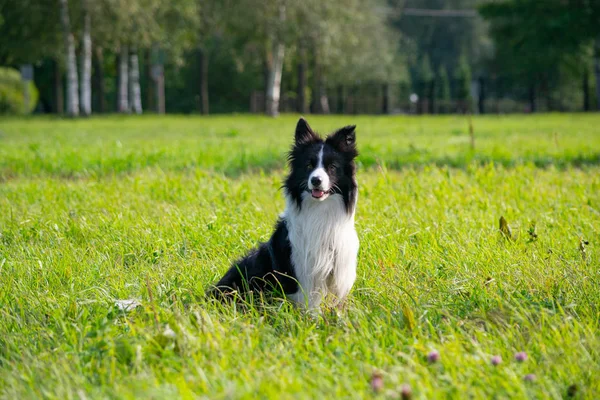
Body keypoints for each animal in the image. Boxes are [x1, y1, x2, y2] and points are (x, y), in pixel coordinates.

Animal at [210, 117, 360, 310]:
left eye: (332, 167)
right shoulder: (303, 271)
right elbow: (309, 305)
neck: (320, 210)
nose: (316, 180)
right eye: (309, 165)